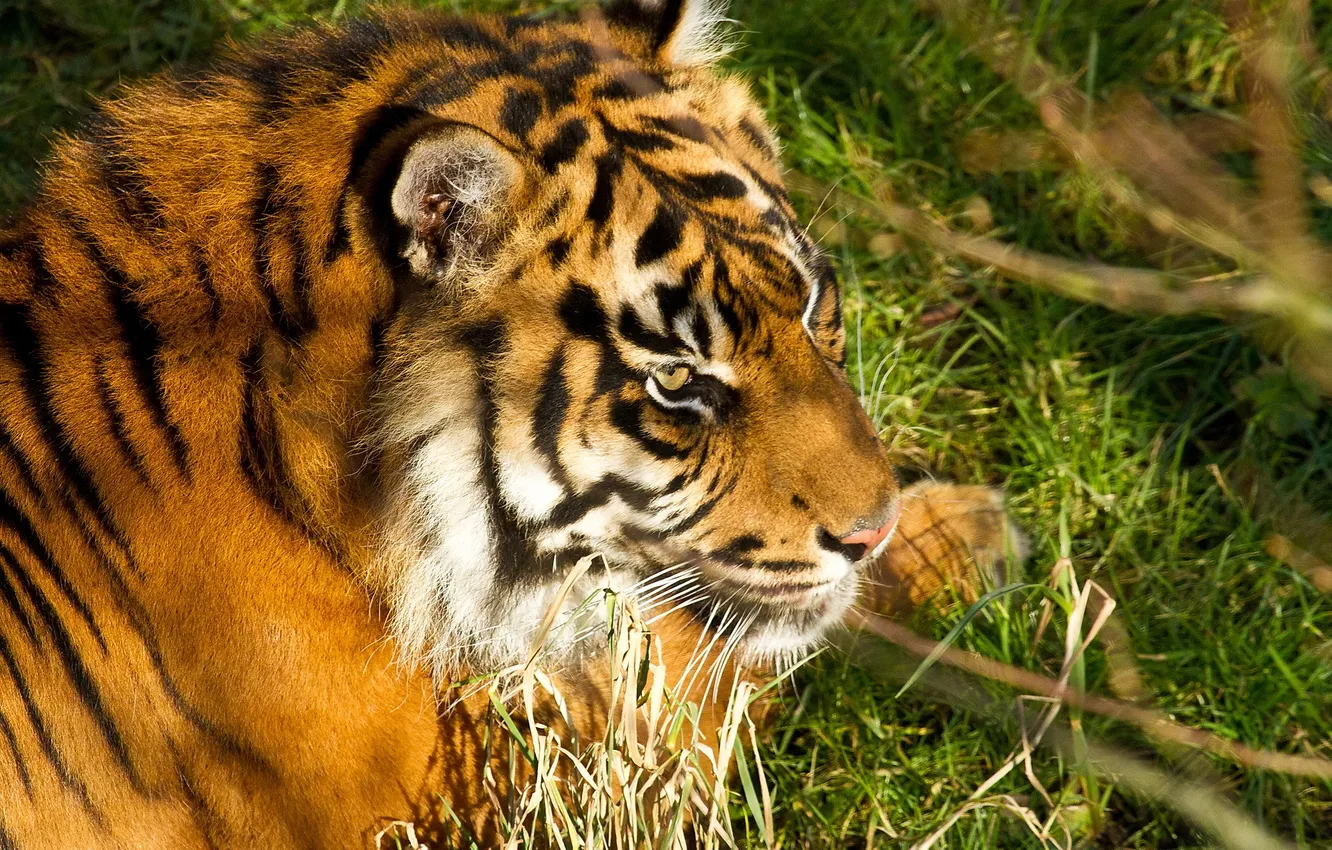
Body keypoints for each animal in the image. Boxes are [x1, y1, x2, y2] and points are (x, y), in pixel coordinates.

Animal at [0, 0, 1022, 846]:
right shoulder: (474, 795)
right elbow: (707, 653)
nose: (869, 531)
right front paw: (968, 539)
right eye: (677, 381)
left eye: (812, 305)